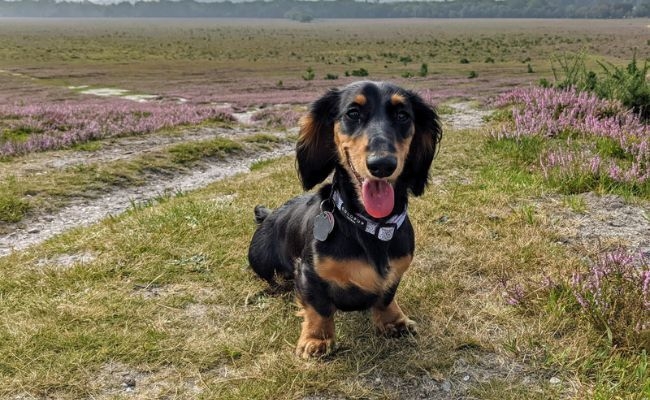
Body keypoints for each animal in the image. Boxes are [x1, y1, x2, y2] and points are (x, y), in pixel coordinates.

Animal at [247, 79, 440, 358]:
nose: (382, 164)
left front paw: (394, 321)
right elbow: (319, 307)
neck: (371, 225)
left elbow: (386, 296)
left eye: (403, 115)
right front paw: (317, 339)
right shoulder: (308, 272)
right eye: (353, 113)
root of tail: (269, 215)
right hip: (261, 262)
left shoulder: (395, 270)